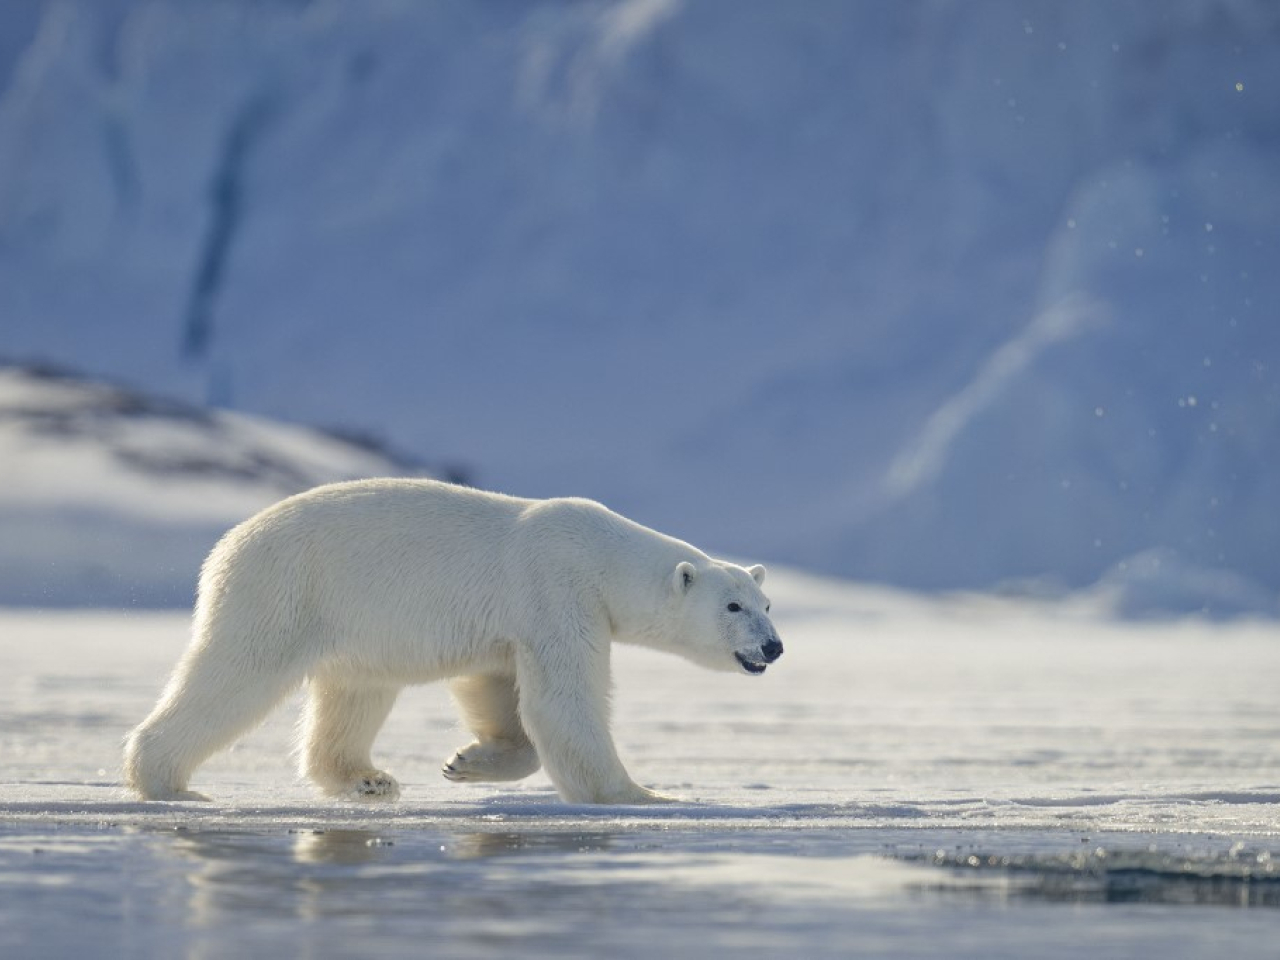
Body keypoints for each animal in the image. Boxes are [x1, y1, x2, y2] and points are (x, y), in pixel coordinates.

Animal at [122, 478, 783, 805]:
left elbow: (495, 683)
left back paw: (368, 780)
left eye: (766, 604)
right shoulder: (557, 591)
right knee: (236, 674)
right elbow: (564, 701)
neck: (602, 555)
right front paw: (643, 793)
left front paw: (466, 762)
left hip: (352, 622)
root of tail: (226, 545)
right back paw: (165, 781)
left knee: (355, 692)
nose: (773, 648)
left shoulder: (515, 624)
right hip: (285, 590)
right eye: (733, 606)